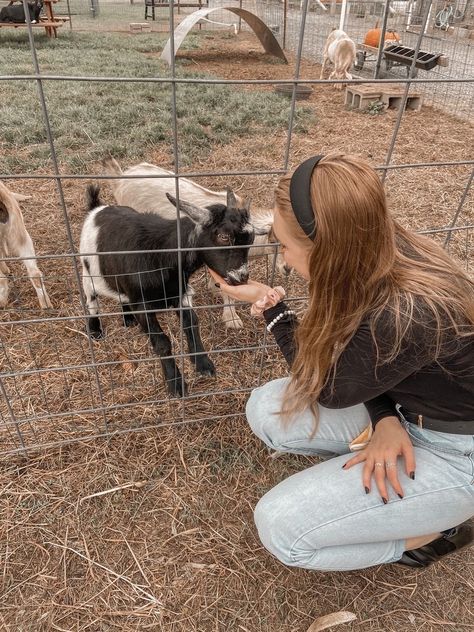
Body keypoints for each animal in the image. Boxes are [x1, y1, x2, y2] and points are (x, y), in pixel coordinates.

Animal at [80, 185, 256, 398]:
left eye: (251, 238)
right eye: (224, 237)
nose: (241, 277)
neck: (162, 253)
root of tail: (97, 208)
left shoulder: (180, 294)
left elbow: (191, 324)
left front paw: (203, 364)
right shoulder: (142, 305)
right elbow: (162, 342)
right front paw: (175, 383)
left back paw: (128, 319)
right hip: (88, 271)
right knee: (91, 299)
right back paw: (95, 330)